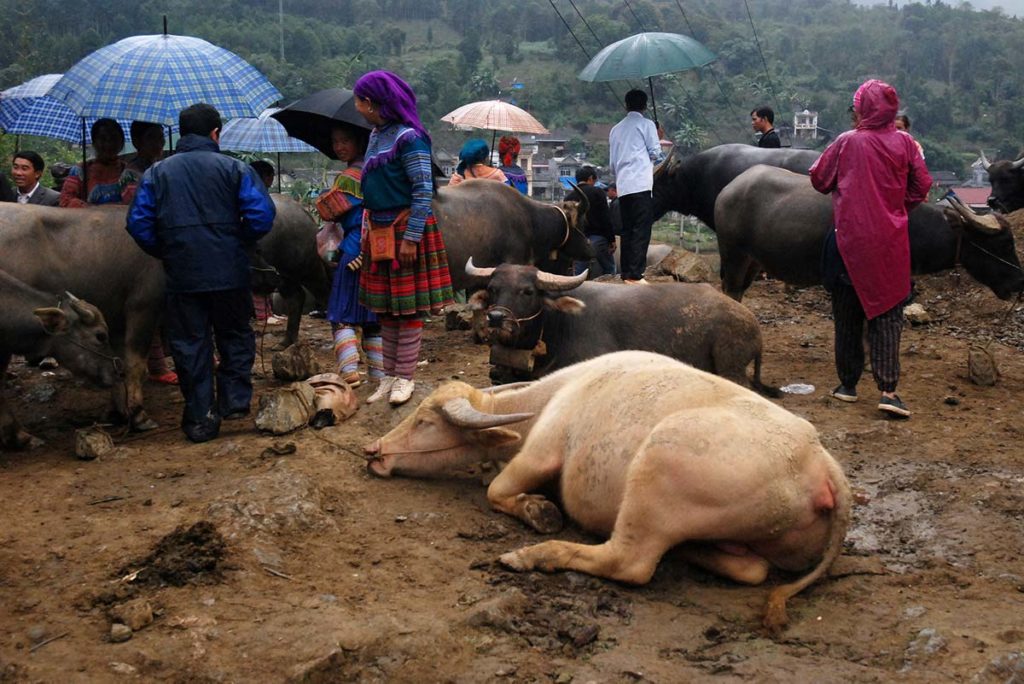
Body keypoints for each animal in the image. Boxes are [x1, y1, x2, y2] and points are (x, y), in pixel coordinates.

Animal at [364, 350, 851, 634]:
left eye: (424, 421)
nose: (374, 451)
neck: (552, 397)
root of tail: (823, 465)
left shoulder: (541, 452)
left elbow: (498, 490)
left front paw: (539, 511)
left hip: (655, 465)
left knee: (629, 561)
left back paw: (533, 555)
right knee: (750, 569)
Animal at [464, 258, 774, 395]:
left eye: (527, 291)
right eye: (492, 289)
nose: (496, 318)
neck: (555, 327)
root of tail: (753, 325)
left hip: (731, 365)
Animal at [712, 163, 1024, 301]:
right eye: (1003, 245)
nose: (1018, 283)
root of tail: (729, 189)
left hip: (753, 260)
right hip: (733, 255)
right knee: (730, 288)